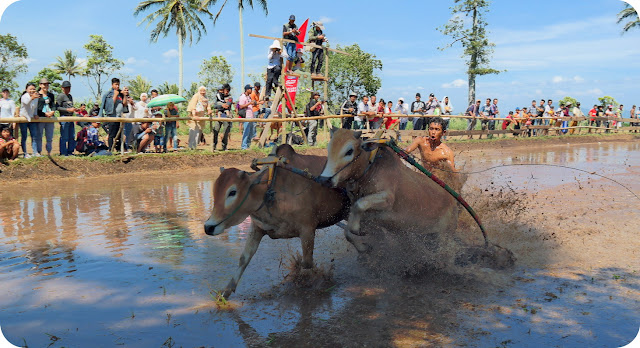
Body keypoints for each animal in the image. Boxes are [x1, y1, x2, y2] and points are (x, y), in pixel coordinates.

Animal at [204, 144, 350, 300]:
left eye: (232, 192)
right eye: (215, 191)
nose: (208, 227)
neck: (271, 190)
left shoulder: (308, 230)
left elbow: (307, 263)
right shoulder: (257, 228)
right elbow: (244, 258)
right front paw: (226, 291)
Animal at [316, 129, 458, 251]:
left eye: (349, 151)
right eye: (329, 149)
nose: (324, 180)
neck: (371, 168)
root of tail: (453, 201)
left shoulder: (387, 199)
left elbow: (360, 205)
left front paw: (356, 228)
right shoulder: (371, 215)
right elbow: (347, 231)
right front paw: (363, 247)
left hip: (444, 236)